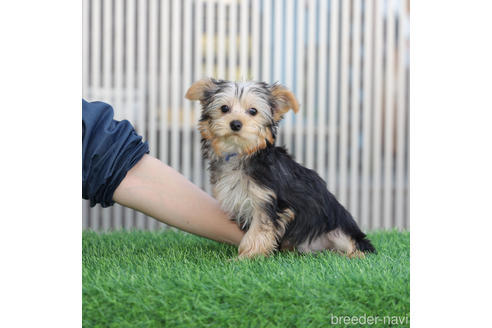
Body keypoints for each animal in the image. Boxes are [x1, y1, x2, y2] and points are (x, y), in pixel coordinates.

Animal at [186, 78, 374, 258]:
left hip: (339, 229)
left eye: (253, 111)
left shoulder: (269, 203)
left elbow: (258, 232)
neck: (241, 153)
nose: (236, 124)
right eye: (224, 108)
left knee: (358, 246)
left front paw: (247, 257)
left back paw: (353, 255)